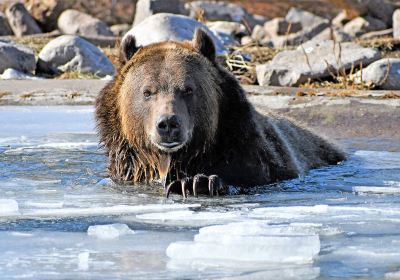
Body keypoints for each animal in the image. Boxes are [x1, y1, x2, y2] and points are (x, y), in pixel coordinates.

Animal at [95, 28, 346, 197]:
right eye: (147, 91)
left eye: (188, 89)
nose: (168, 124)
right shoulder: (128, 166)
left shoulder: (248, 152)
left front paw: (196, 183)